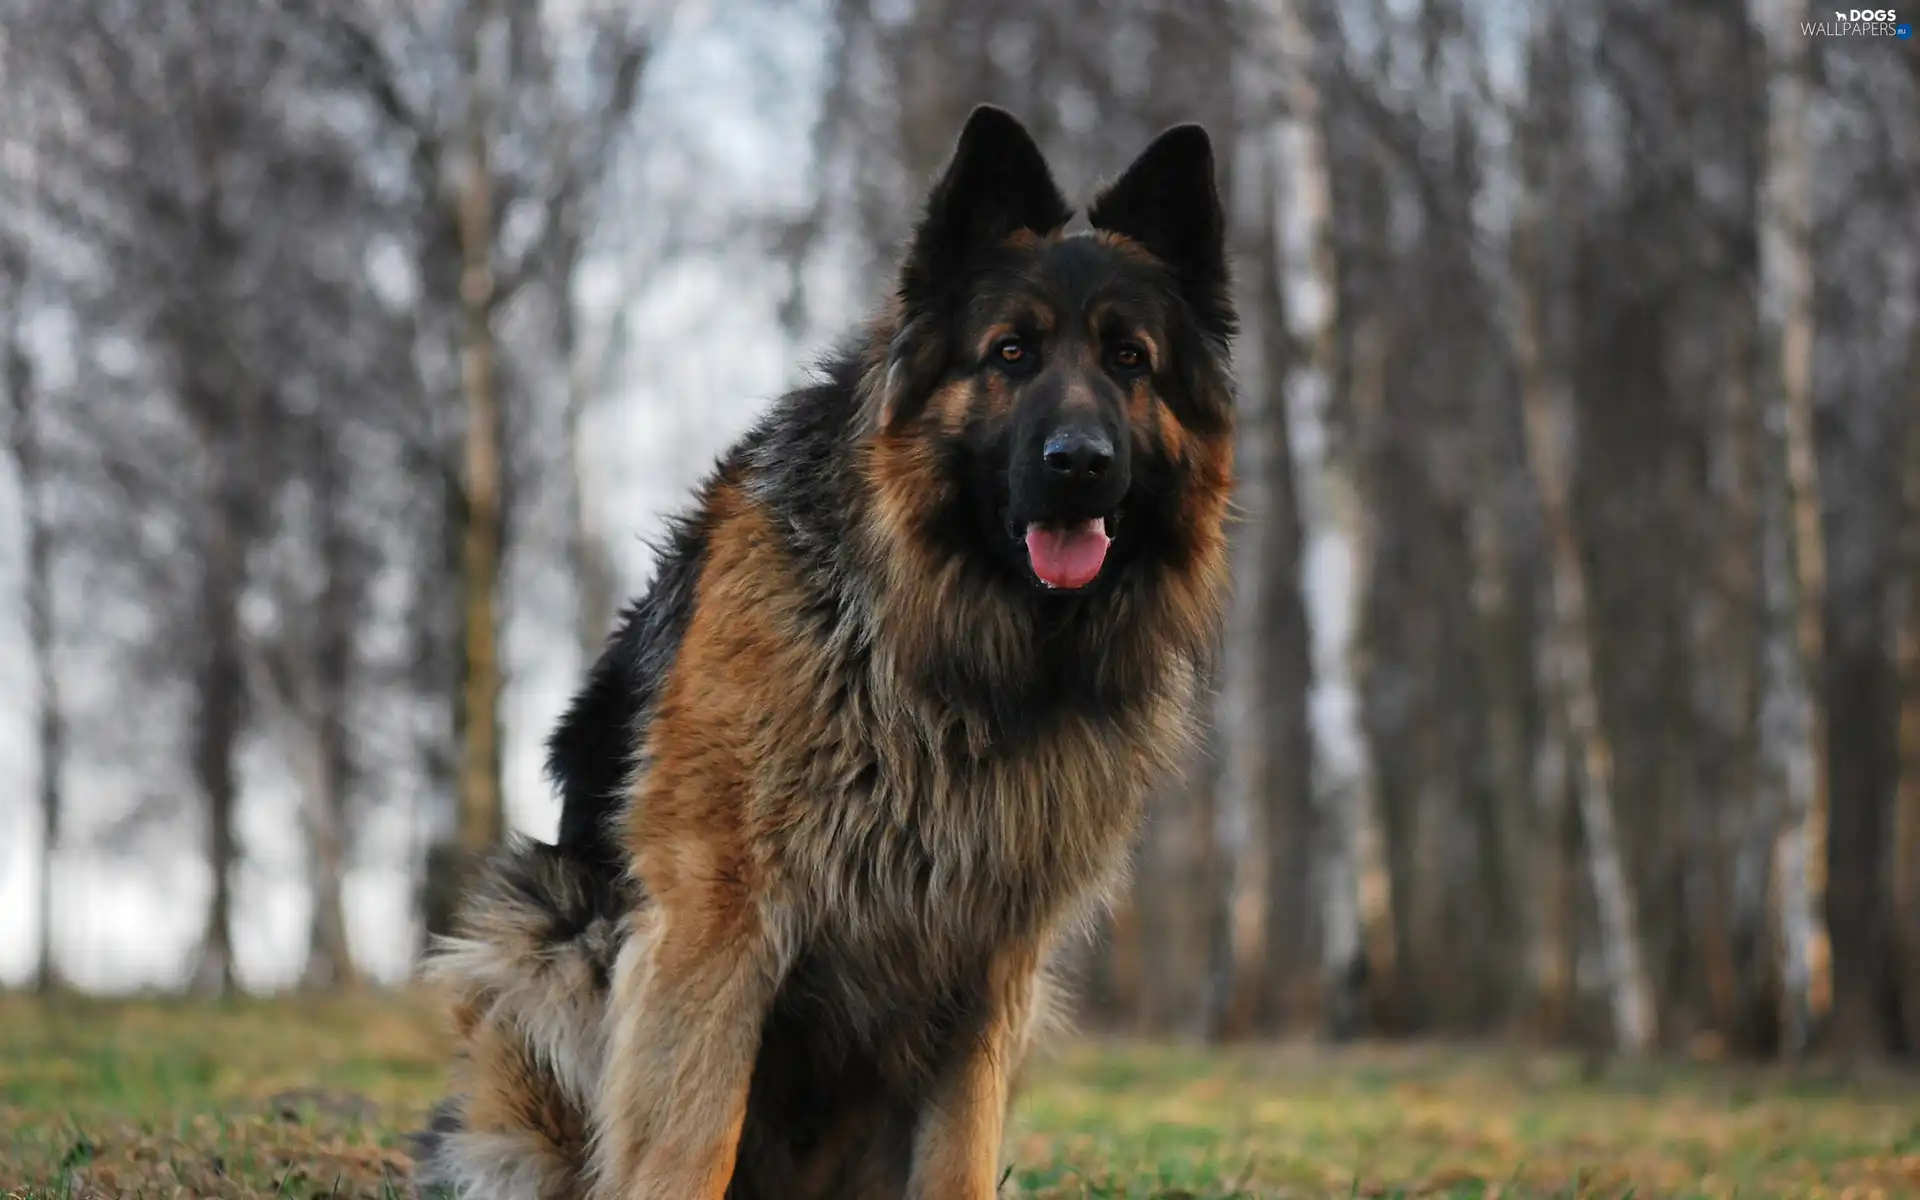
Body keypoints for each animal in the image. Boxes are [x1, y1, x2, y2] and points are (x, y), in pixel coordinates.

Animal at [412, 105, 1236, 1198]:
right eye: (1011, 353)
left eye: (1129, 360)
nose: (1079, 465)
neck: (956, 654)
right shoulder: (715, 918)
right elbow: (688, 1143)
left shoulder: (990, 967)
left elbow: (958, 1162)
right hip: (542, 926)